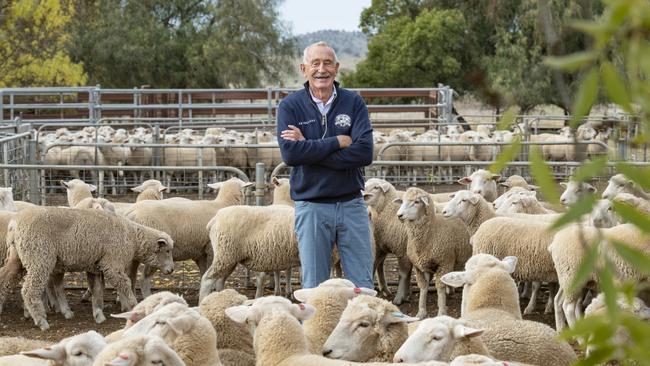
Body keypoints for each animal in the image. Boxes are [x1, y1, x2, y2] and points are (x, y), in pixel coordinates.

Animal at [0, 207, 175, 330]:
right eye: (167, 251)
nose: (172, 270)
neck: (132, 237)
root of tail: (14, 225)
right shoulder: (112, 263)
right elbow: (124, 285)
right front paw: (133, 305)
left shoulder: (95, 266)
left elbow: (97, 290)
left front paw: (98, 314)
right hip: (39, 257)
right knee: (29, 290)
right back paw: (41, 320)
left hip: (17, 258)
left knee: (4, 280)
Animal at [392, 187, 468, 318]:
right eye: (402, 201)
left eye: (417, 202)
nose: (399, 215)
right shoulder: (419, 267)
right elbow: (423, 287)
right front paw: (421, 312)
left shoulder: (444, 263)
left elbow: (440, 287)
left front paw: (441, 312)